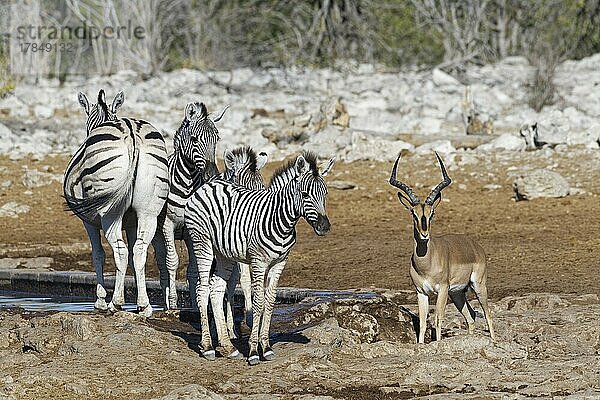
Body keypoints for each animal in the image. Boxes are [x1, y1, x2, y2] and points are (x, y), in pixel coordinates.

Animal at [63, 89, 169, 318]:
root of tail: (131, 133)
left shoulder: (89, 221)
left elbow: (98, 255)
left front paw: (101, 301)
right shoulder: (132, 223)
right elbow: (133, 256)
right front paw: (138, 300)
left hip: (109, 213)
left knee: (119, 251)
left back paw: (116, 303)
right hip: (149, 211)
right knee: (139, 250)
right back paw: (145, 306)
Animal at [185, 152, 336, 364]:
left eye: (326, 194)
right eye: (305, 194)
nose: (324, 227)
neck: (280, 220)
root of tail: (208, 185)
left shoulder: (279, 263)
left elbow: (270, 301)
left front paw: (266, 347)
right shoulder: (258, 262)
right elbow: (258, 302)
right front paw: (254, 351)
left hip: (224, 254)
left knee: (216, 289)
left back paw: (228, 347)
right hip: (202, 243)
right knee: (203, 288)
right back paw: (207, 347)